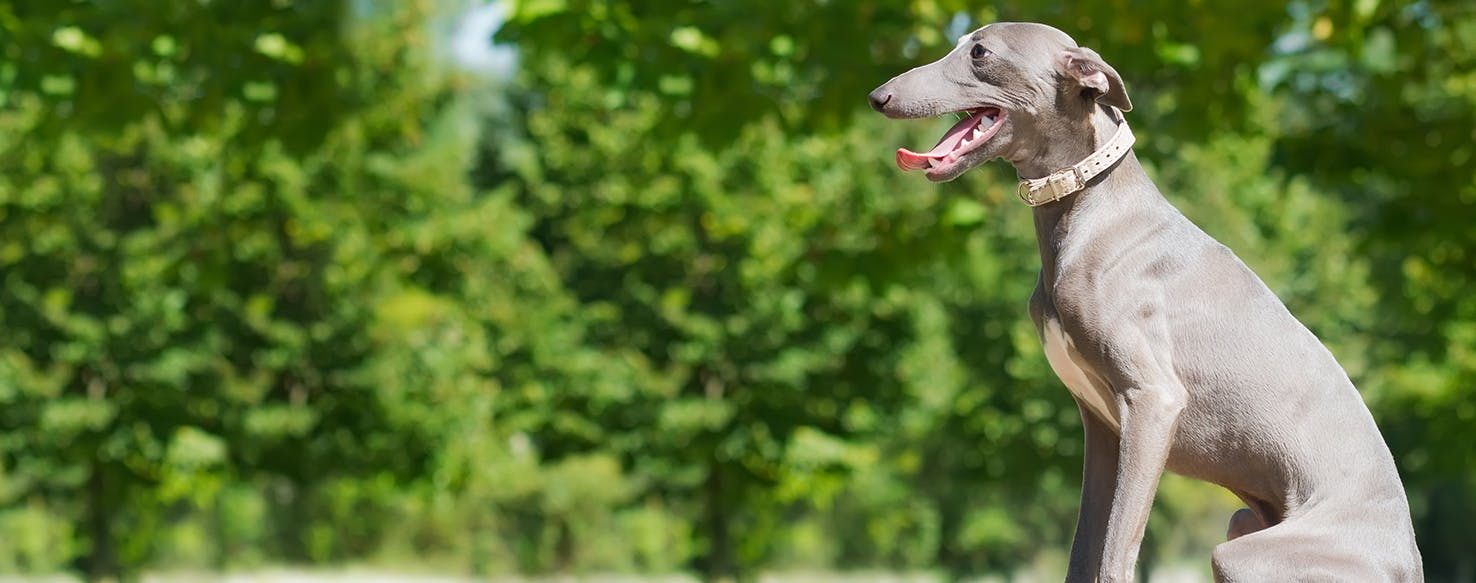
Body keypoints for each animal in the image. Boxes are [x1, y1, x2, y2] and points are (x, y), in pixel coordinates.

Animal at [867, 20, 1422, 581]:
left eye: (980, 53)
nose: (878, 96)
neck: (1092, 213)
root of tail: (1408, 561)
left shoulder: (1153, 401)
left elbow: (1115, 555)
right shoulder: (1102, 428)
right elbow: (1084, 554)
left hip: (1243, 553)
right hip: (1243, 520)